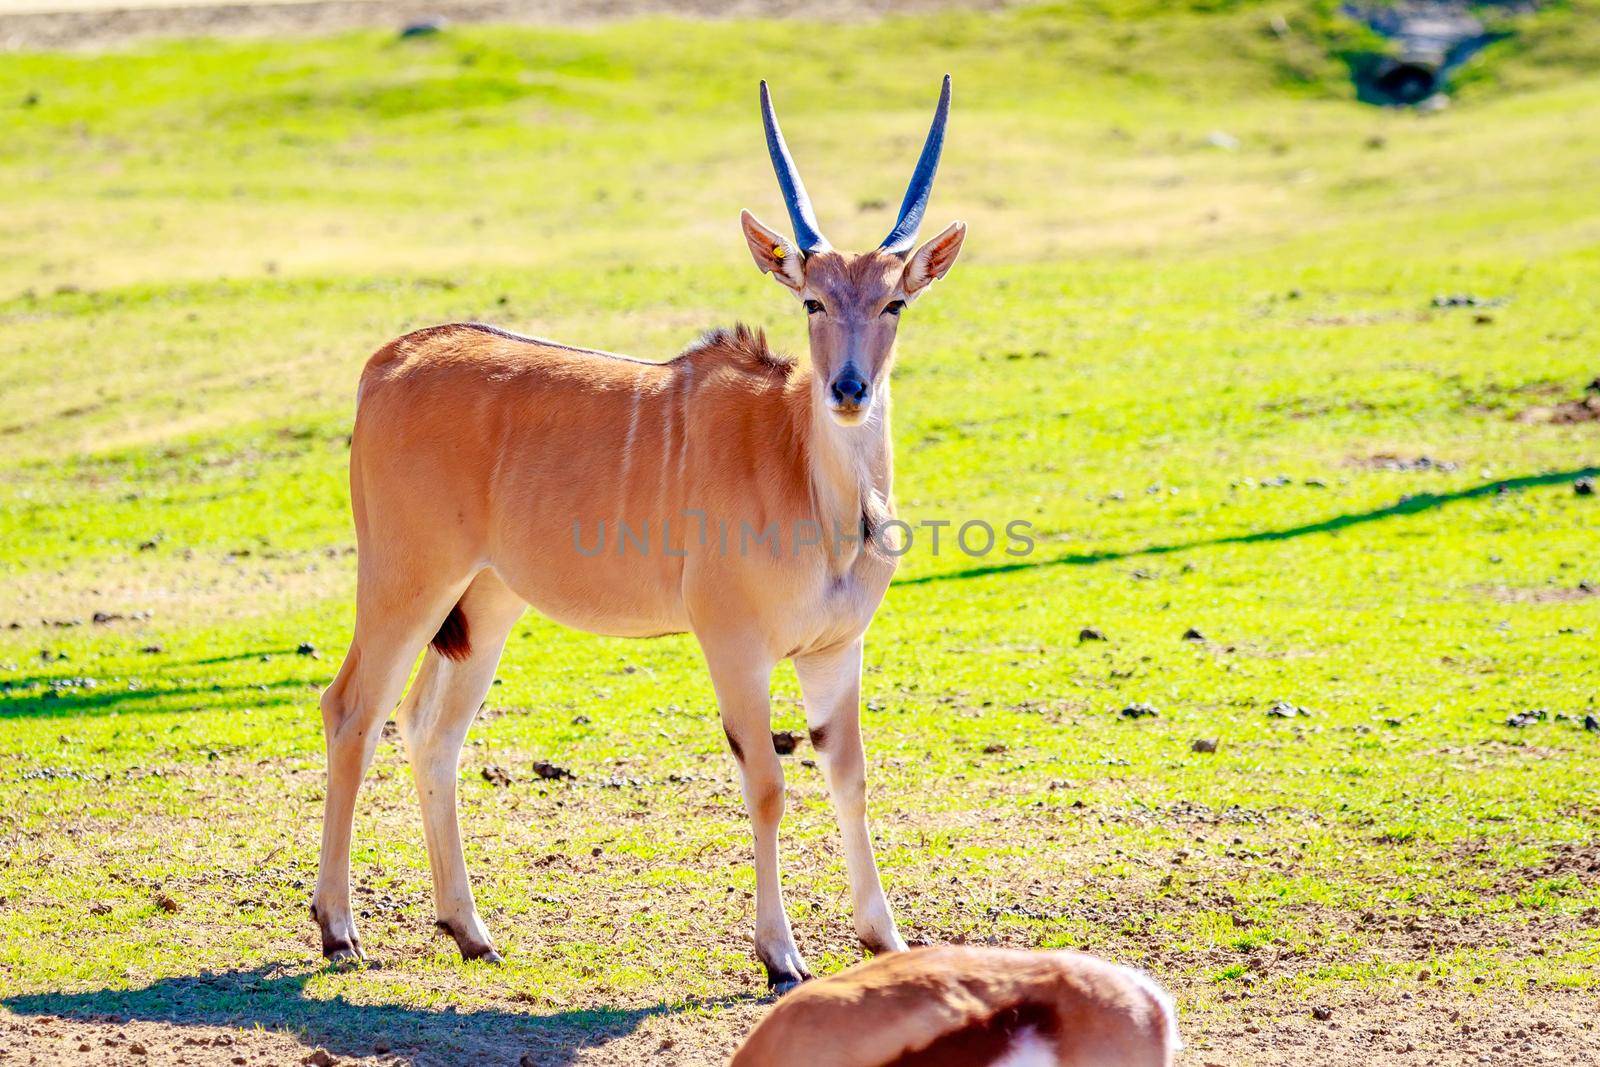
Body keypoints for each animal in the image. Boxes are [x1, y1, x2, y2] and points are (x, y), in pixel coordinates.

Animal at [307, 77, 966, 991]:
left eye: (894, 300)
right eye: (812, 299)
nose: (849, 388)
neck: (803, 471)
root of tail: (389, 361)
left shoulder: (835, 649)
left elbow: (850, 773)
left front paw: (885, 935)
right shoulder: (734, 645)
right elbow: (768, 781)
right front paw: (780, 953)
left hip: (486, 604)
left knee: (430, 730)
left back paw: (469, 927)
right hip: (406, 582)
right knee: (353, 711)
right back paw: (339, 929)